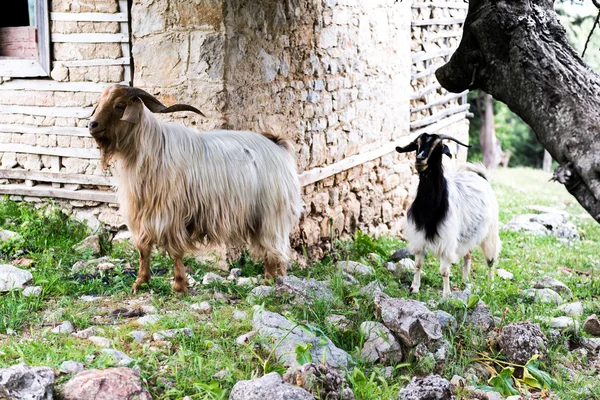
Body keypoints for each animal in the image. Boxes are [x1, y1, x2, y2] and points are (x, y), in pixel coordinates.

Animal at [86, 85, 302, 294]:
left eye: (119, 105)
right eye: (99, 102)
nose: (92, 125)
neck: (150, 149)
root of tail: (278, 145)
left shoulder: (172, 215)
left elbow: (175, 252)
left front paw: (180, 287)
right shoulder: (141, 214)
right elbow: (143, 249)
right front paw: (140, 283)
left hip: (272, 215)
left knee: (274, 252)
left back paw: (273, 284)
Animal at [396, 133, 500, 296]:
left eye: (439, 146)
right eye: (416, 145)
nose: (420, 160)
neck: (431, 208)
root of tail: (481, 176)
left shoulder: (447, 241)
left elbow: (444, 271)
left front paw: (446, 295)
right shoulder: (419, 238)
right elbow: (418, 265)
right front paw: (414, 288)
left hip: (490, 231)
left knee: (491, 259)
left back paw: (491, 284)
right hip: (468, 233)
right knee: (468, 255)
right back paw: (465, 279)